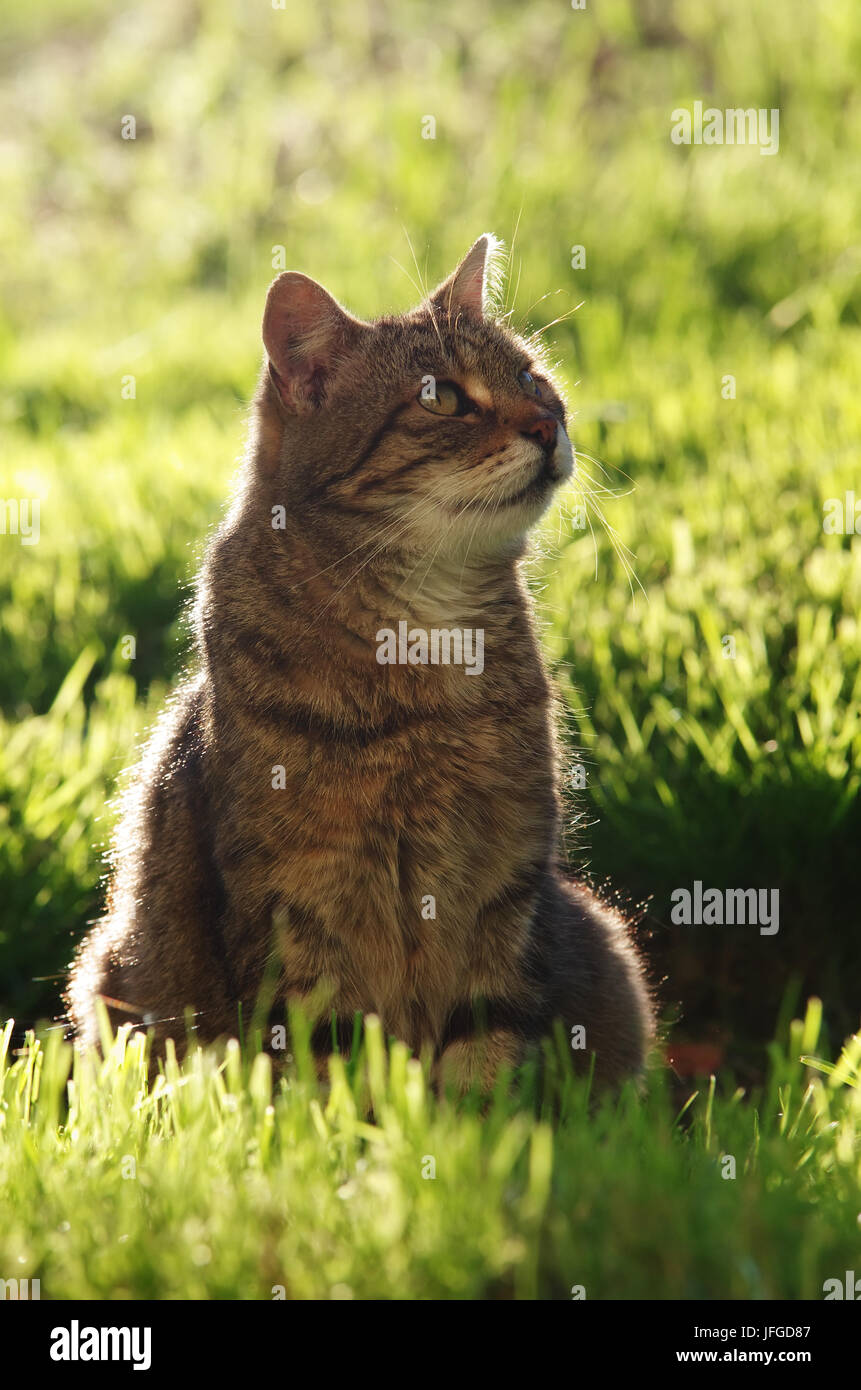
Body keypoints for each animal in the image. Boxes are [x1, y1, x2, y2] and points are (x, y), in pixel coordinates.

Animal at [65, 236, 653, 1084]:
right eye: (441, 398)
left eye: (528, 375)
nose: (548, 422)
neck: (422, 647)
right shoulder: (297, 908)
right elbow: (336, 1074)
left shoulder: (502, 891)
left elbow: (481, 1067)